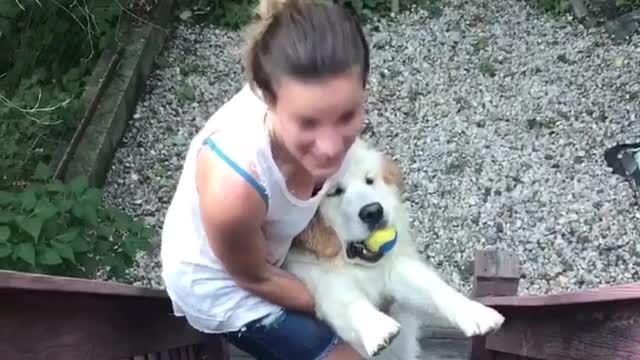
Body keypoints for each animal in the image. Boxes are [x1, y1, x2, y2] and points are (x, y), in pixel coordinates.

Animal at [284, 139, 504, 358]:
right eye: (335, 192)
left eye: (369, 181)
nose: (373, 211)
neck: (352, 265)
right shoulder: (318, 279)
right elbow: (346, 299)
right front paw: (377, 328)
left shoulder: (393, 270)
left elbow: (433, 287)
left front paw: (475, 313)